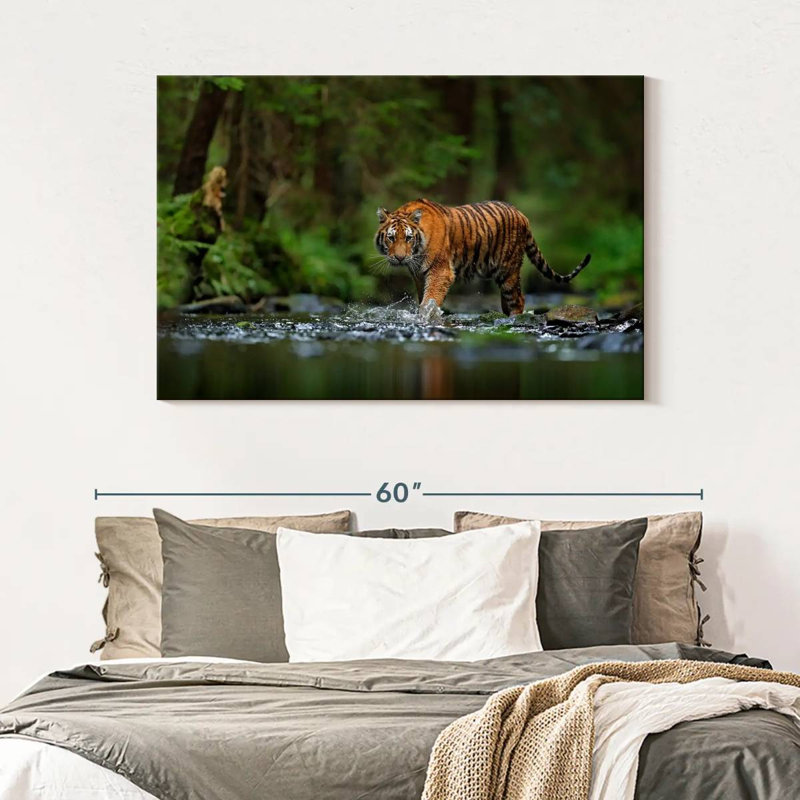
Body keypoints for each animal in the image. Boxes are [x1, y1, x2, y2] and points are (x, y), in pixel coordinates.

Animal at [374, 198, 591, 316]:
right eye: (391, 238)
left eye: (408, 238)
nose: (399, 258)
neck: (417, 253)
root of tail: (522, 215)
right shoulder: (419, 275)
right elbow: (423, 298)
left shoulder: (440, 271)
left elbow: (431, 299)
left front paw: (427, 316)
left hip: (508, 271)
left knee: (518, 299)